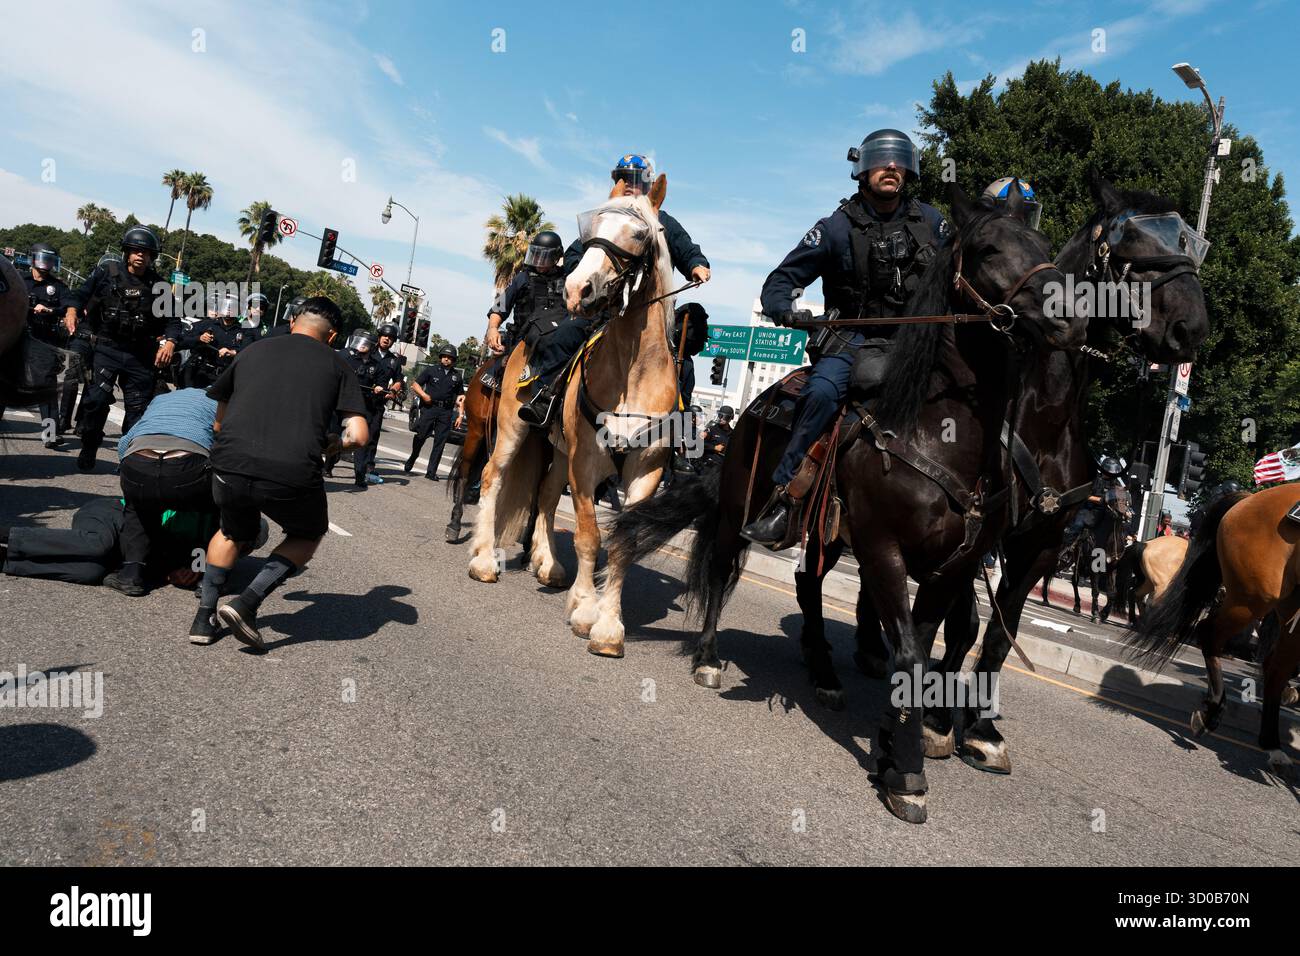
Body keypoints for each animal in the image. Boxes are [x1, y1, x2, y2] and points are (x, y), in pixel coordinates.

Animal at [468, 175, 683, 659]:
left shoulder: (645, 472)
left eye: (640, 233)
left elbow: (623, 544)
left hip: (557, 451)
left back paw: (548, 564)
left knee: (546, 497)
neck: (634, 371)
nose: (578, 289)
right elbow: (589, 537)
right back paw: (484, 559)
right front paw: (585, 606)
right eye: (592, 227)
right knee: (492, 477)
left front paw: (608, 625)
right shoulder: (586, 465)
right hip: (514, 433)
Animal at [607, 183, 1084, 823]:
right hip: (739, 511)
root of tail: (753, 409)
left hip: (829, 535)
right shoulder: (884, 551)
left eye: (1042, 245)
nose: (1068, 315)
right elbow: (908, 651)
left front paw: (894, 741)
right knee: (723, 567)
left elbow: (923, 648)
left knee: (808, 585)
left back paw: (825, 672)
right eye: (987, 249)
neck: (938, 430)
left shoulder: (953, 566)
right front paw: (906, 772)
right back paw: (709, 656)